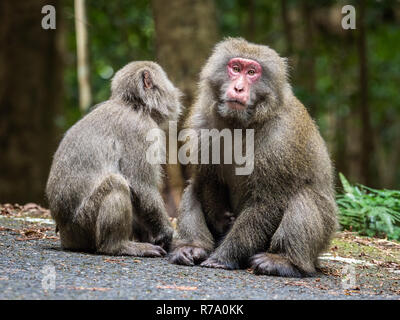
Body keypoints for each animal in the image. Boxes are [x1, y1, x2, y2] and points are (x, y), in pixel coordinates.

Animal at [45, 61, 181, 258]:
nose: (174, 89)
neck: (134, 105)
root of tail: (65, 235)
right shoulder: (141, 131)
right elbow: (141, 186)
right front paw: (165, 232)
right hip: (83, 224)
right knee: (117, 183)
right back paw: (117, 246)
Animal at [169, 38, 338, 278]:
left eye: (251, 72)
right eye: (235, 68)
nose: (238, 88)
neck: (240, 124)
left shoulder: (280, 138)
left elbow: (268, 201)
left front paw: (223, 258)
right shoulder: (201, 122)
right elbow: (208, 178)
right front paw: (220, 220)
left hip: (324, 233)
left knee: (302, 196)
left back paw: (285, 261)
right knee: (193, 188)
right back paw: (192, 247)